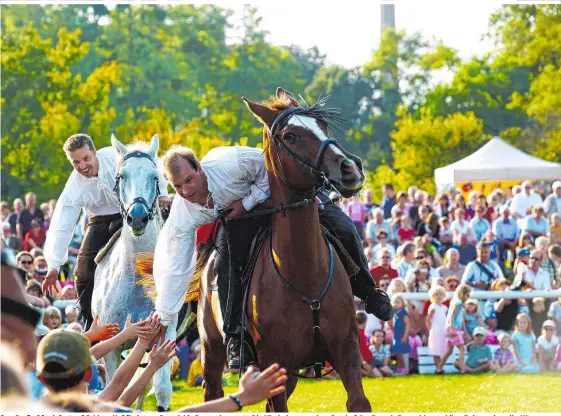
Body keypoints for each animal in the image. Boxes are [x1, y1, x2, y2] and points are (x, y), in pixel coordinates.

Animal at [91, 134, 177, 410]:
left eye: (155, 177)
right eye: (121, 176)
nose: (137, 217)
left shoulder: (163, 337)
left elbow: (161, 389)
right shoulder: (111, 348)